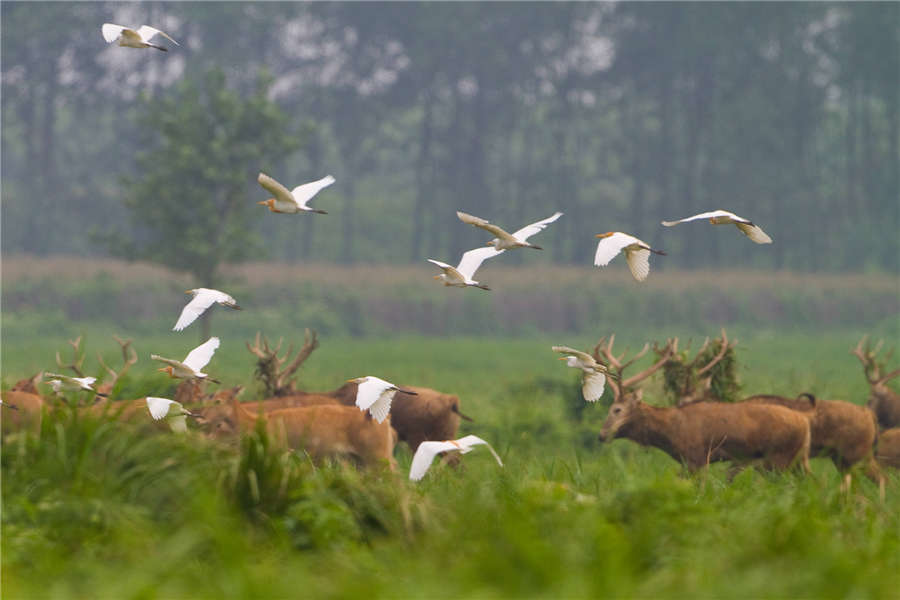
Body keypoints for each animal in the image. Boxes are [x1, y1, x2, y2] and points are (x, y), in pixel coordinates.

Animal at [594, 335, 811, 474]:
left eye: (617, 409)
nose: (602, 435)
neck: (672, 432)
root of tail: (805, 423)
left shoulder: (697, 457)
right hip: (797, 459)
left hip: (778, 457)